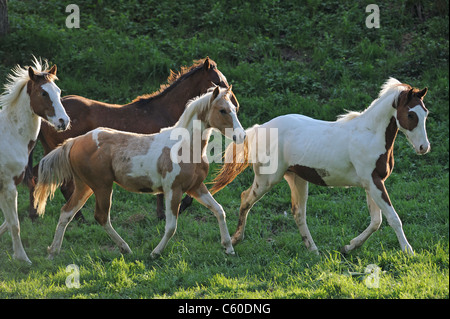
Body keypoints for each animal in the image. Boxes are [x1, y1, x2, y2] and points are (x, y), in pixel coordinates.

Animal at [0, 58, 69, 264]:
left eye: (58, 91)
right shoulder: (9, 186)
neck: (10, 134)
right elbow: (14, 224)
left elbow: (7, 222)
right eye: (43, 92)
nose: (63, 121)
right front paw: (22, 258)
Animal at [26, 57, 234, 221]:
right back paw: (73, 217)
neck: (164, 111)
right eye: (218, 81)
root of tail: (46, 117)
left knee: (37, 175)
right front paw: (169, 211)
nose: (235, 104)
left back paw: (36, 213)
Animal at [34, 85, 246, 260]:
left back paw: (53, 252)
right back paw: (125, 248)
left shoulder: (196, 187)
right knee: (101, 216)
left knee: (66, 212)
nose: (241, 136)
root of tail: (74, 141)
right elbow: (171, 226)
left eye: (235, 109)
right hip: (102, 186)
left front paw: (229, 247)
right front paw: (155, 253)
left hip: (85, 186)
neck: (185, 146)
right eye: (222, 110)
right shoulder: (173, 189)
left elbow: (219, 211)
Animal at [211, 79, 428, 256]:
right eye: (411, 114)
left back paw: (313, 250)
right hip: (267, 178)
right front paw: (409, 252)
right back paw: (233, 241)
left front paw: (348, 247)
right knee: (245, 198)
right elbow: (393, 218)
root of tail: (259, 128)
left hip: (297, 178)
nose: (424, 147)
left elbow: (376, 221)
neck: (370, 134)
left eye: (425, 113)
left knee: (298, 213)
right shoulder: (373, 183)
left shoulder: (372, 184)